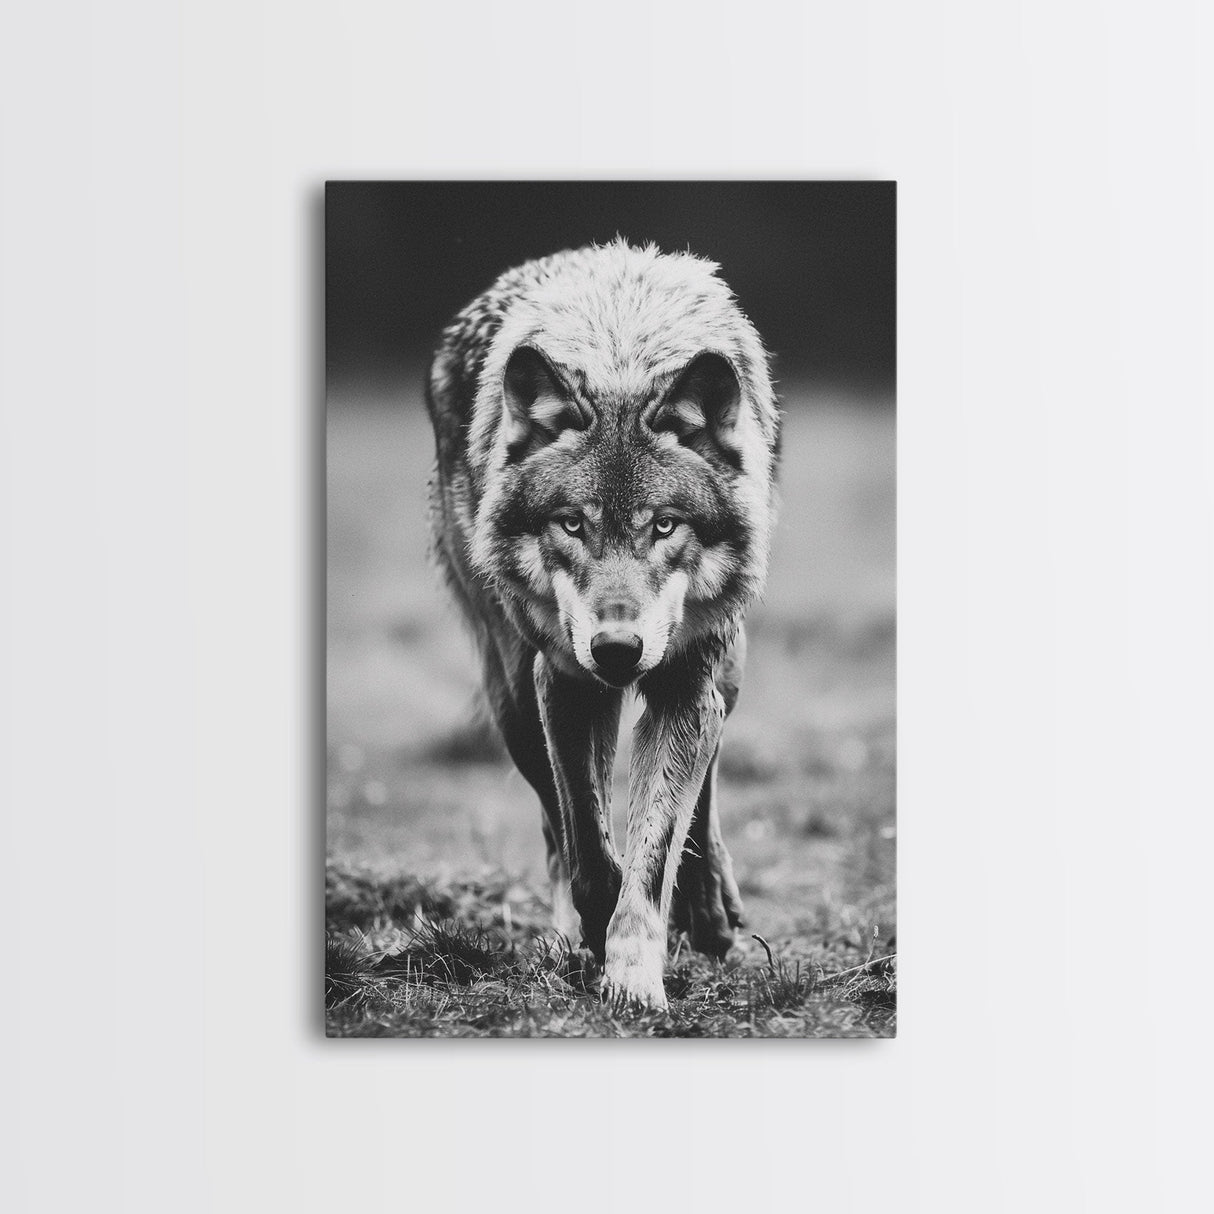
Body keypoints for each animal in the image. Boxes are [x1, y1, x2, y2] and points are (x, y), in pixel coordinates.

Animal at [425, 240, 780, 1007]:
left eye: (664, 526)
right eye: (571, 524)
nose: (617, 649)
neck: (621, 352)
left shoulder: (683, 683)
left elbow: (656, 846)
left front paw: (636, 978)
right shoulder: (563, 682)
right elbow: (587, 842)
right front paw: (597, 928)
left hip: (725, 667)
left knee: (706, 783)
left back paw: (711, 909)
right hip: (512, 695)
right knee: (555, 828)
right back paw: (573, 934)